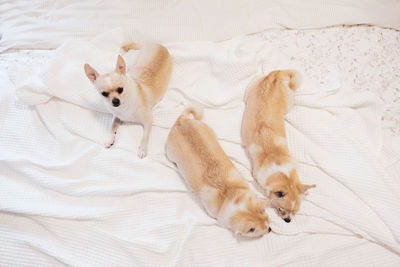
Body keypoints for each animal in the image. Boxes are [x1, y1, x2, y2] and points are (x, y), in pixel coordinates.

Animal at [166, 107, 272, 239]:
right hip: (170, 155)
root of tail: (181, 121)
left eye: (268, 220)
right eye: (261, 233)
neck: (230, 195)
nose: (270, 230)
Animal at [241, 70, 316, 224]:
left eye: (295, 212)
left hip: (253, 86)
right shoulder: (257, 176)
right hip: (285, 101)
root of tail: (275, 76)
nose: (288, 220)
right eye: (281, 210)